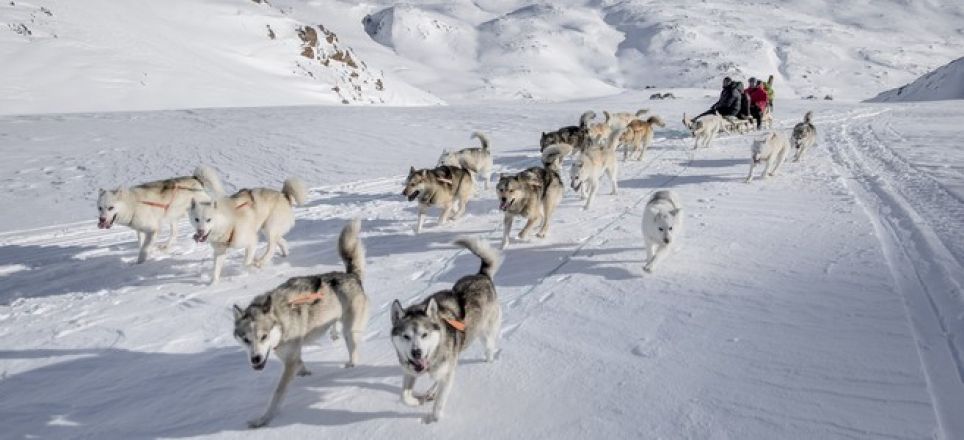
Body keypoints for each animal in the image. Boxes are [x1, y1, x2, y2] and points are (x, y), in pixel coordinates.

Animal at [98, 164, 226, 262]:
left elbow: (144, 249)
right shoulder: (140, 231)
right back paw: (165, 247)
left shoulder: (153, 230)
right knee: (174, 235)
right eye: (100, 208)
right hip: (172, 217)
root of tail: (195, 178)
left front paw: (140, 264)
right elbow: (141, 244)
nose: (102, 220)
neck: (133, 204)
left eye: (110, 208)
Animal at [233, 220, 370, 430]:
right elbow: (300, 364)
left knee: (353, 351)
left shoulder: (289, 361)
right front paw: (305, 373)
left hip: (351, 331)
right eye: (246, 340)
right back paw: (333, 334)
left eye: (264, 336)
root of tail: (351, 276)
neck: (280, 319)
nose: (255, 359)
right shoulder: (290, 357)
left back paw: (351, 366)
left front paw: (264, 419)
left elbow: (277, 394)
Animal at [390, 239, 500, 424]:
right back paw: (430, 392)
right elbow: (404, 395)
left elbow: (440, 402)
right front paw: (415, 401)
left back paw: (489, 363)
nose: (417, 352)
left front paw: (434, 421)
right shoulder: (410, 371)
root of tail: (481, 275)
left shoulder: (447, 373)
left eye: (424, 334)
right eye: (406, 336)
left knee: (489, 347)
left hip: (485, 332)